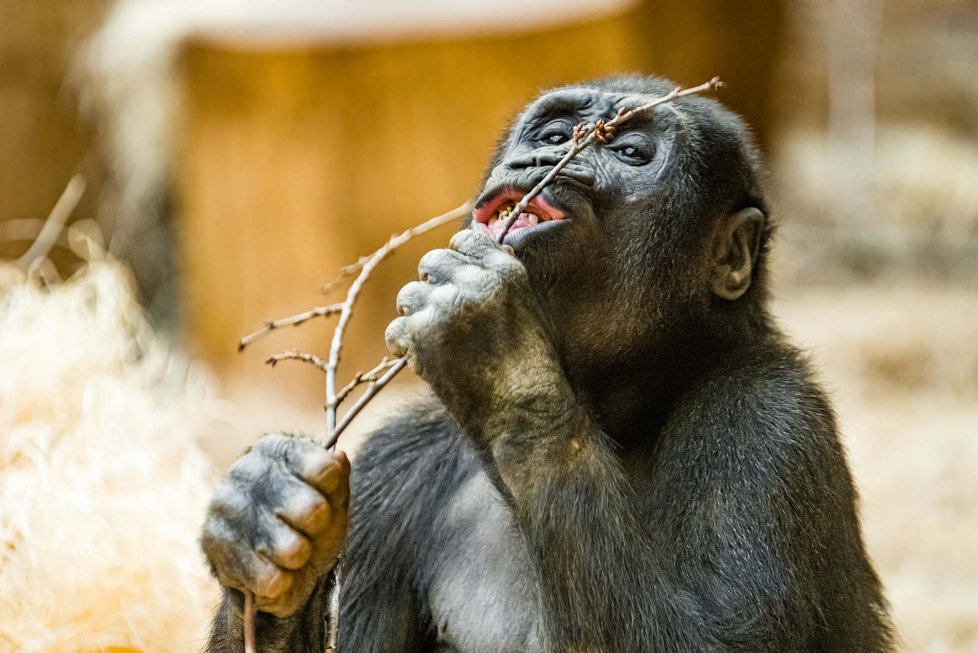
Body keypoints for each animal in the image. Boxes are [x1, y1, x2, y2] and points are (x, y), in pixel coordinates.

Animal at [200, 77, 892, 652]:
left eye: (632, 152)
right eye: (554, 135)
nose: (545, 159)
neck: (623, 411)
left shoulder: (768, 417)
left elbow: (717, 640)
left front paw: (494, 355)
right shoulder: (393, 465)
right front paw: (263, 514)